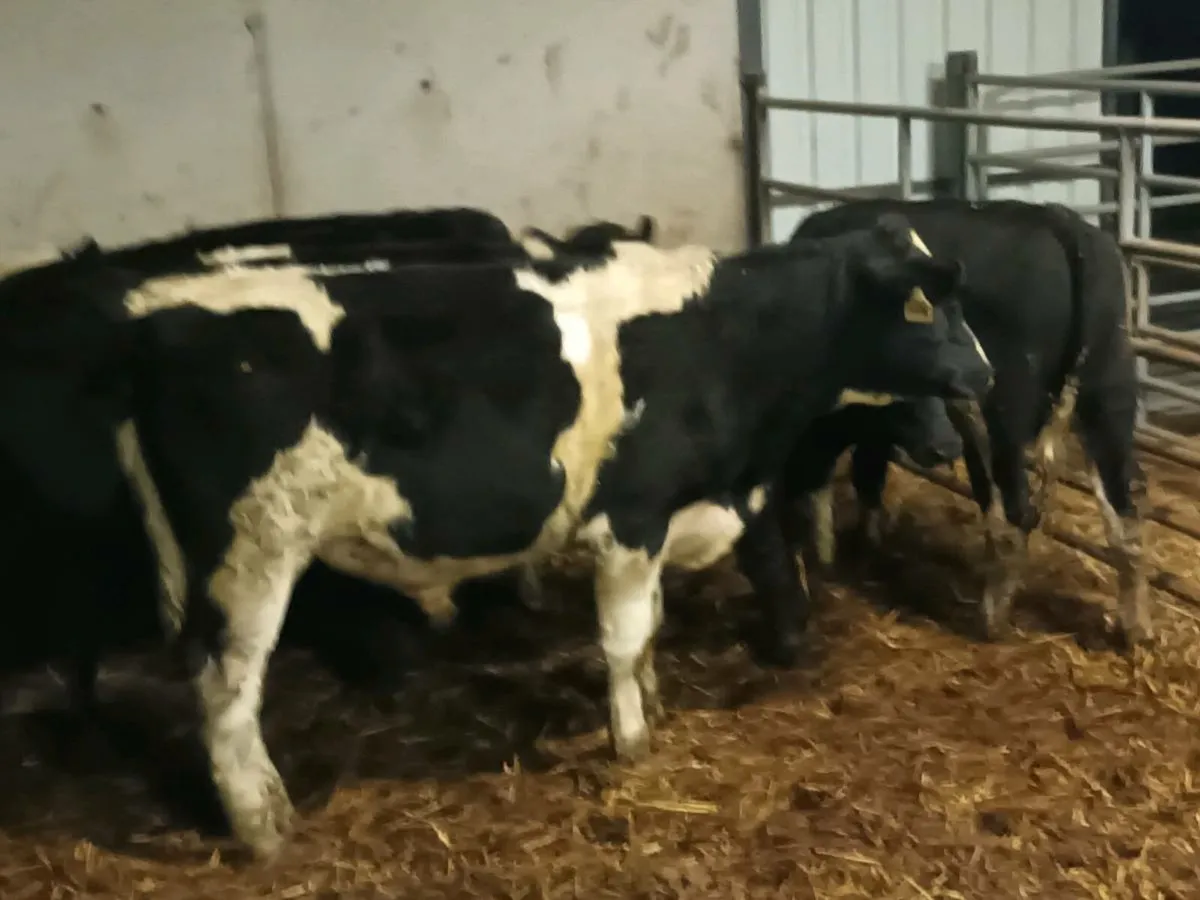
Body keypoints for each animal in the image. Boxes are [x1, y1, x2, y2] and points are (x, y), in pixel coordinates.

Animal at [0, 212, 991, 857]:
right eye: (928, 308)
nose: (981, 374)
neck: (728, 343)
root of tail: (148, 319)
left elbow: (652, 633)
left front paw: (656, 704)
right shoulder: (631, 517)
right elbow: (623, 640)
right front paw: (633, 742)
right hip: (249, 549)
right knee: (224, 687)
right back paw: (265, 826)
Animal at [788, 198, 1148, 648]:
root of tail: (1059, 222)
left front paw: (829, 553)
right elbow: (867, 469)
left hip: (1005, 411)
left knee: (1014, 511)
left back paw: (992, 616)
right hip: (1108, 392)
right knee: (1125, 508)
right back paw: (1133, 628)